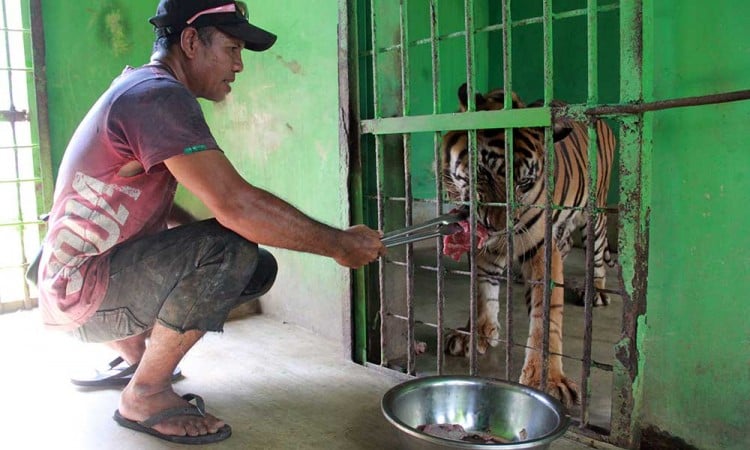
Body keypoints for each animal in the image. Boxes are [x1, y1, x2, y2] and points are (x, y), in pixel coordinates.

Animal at [440, 82, 616, 406]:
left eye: (523, 184)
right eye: (483, 173)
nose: (496, 226)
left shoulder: (540, 247)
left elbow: (546, 317)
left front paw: (547, 379)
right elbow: (482, 290)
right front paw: (476, 333)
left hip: (594, 215)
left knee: (596, 254)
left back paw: (596, 291)